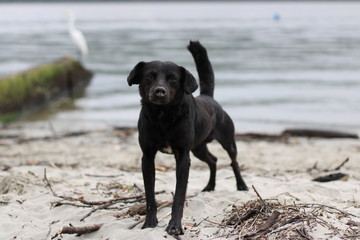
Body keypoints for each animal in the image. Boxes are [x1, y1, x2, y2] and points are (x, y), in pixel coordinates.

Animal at [126, 40, 248, 234]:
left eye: (173, 78)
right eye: (149, 76)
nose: (159, 91)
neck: (163, 116)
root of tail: (208, 97)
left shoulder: (183, 156)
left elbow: (179, 195)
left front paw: (175, 226)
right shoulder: (148, 157)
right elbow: (150, 195)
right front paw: (149, 222)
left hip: (228, 141)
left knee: (233, 161)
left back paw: (241, 185)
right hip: (198, 148)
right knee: (213, 160)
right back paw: (210, 186)